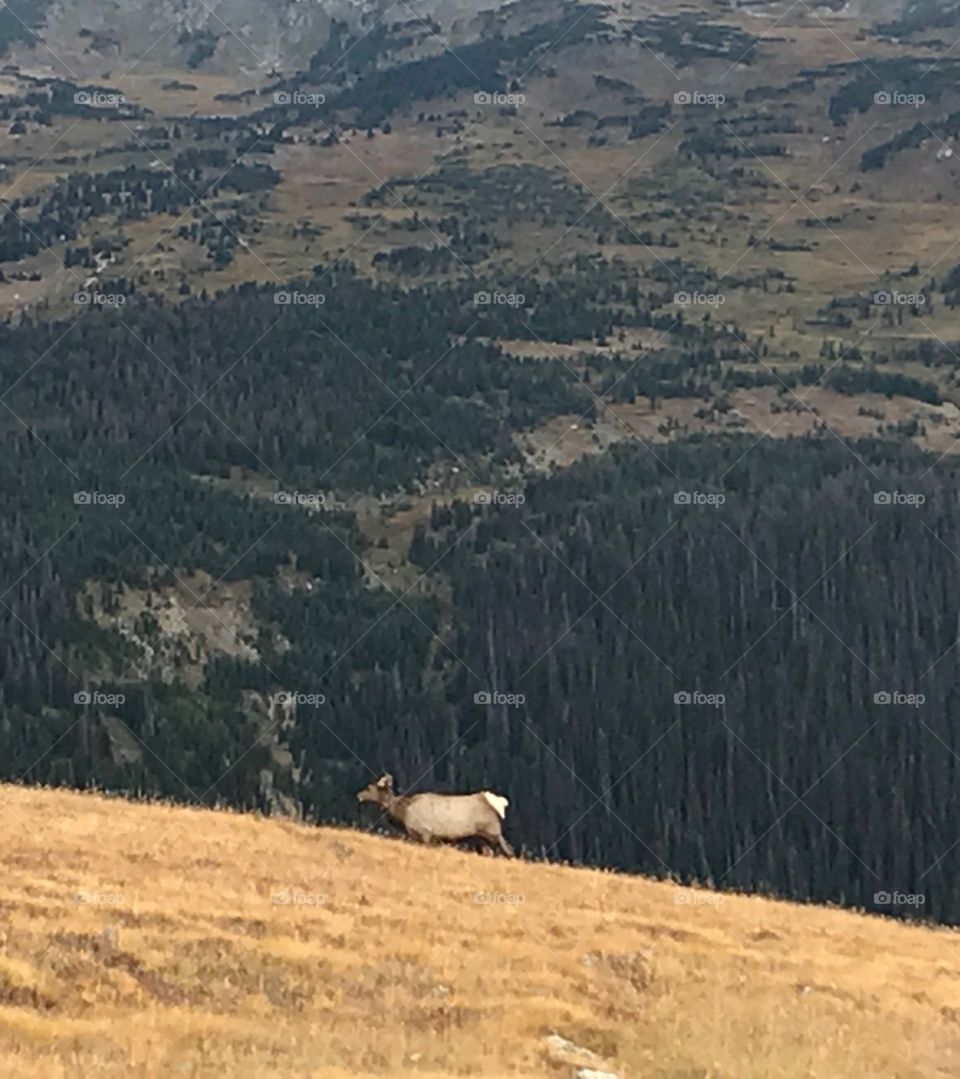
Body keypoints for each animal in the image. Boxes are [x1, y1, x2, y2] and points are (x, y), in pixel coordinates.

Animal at [357, 773, 515, 856]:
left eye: (369, 787)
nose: (359, 795)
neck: (403, 811)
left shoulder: (425, 834)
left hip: (493, 831)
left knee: (509, 849)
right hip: (482, 838)